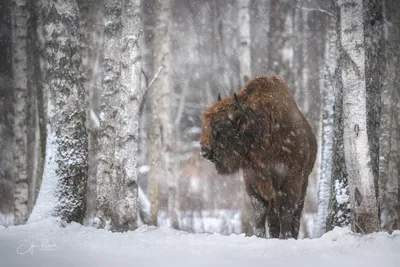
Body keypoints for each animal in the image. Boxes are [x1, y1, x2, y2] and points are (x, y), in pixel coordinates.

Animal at [202, 76, 318, 241]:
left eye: (220, 126)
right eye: (205, 122)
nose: (204, 151)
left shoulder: (291, 178)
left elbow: (287, 209)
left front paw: (285, 237)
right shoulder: (252, 179)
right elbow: (260, 210)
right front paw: (260, 236)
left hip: (304, 180)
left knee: (297, 210)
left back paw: (292, 235)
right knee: (273, 214)